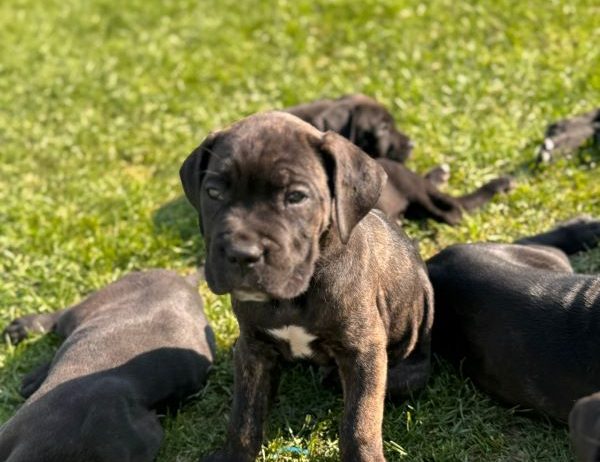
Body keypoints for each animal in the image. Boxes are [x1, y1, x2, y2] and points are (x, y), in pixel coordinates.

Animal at [180, 112, 434, 462]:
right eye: (214, 193)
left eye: (296, 197)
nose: (242, 254)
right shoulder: (252, 348)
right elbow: (244, 415)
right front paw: (234, 454)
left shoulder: (364, 353)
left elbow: (359, 421)